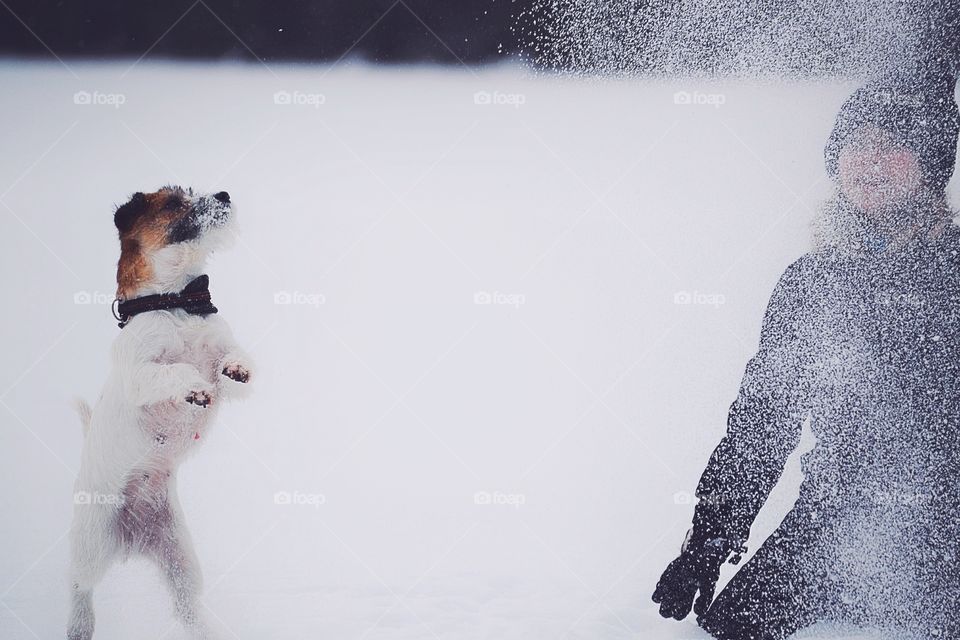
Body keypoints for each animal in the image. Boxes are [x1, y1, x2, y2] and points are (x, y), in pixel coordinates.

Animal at [69, 186, 253, 640]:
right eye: (173, 201)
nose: (224, 193)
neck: (177, 303)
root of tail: (132, 539)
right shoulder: (141, 374)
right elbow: (176, 371)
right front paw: (193, 388)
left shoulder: (222, 352)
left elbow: (232, 364)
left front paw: (237, 369)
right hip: (91, 541)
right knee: (79, 587)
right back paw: (78, 625)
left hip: (181, 560)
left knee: (188, 608)